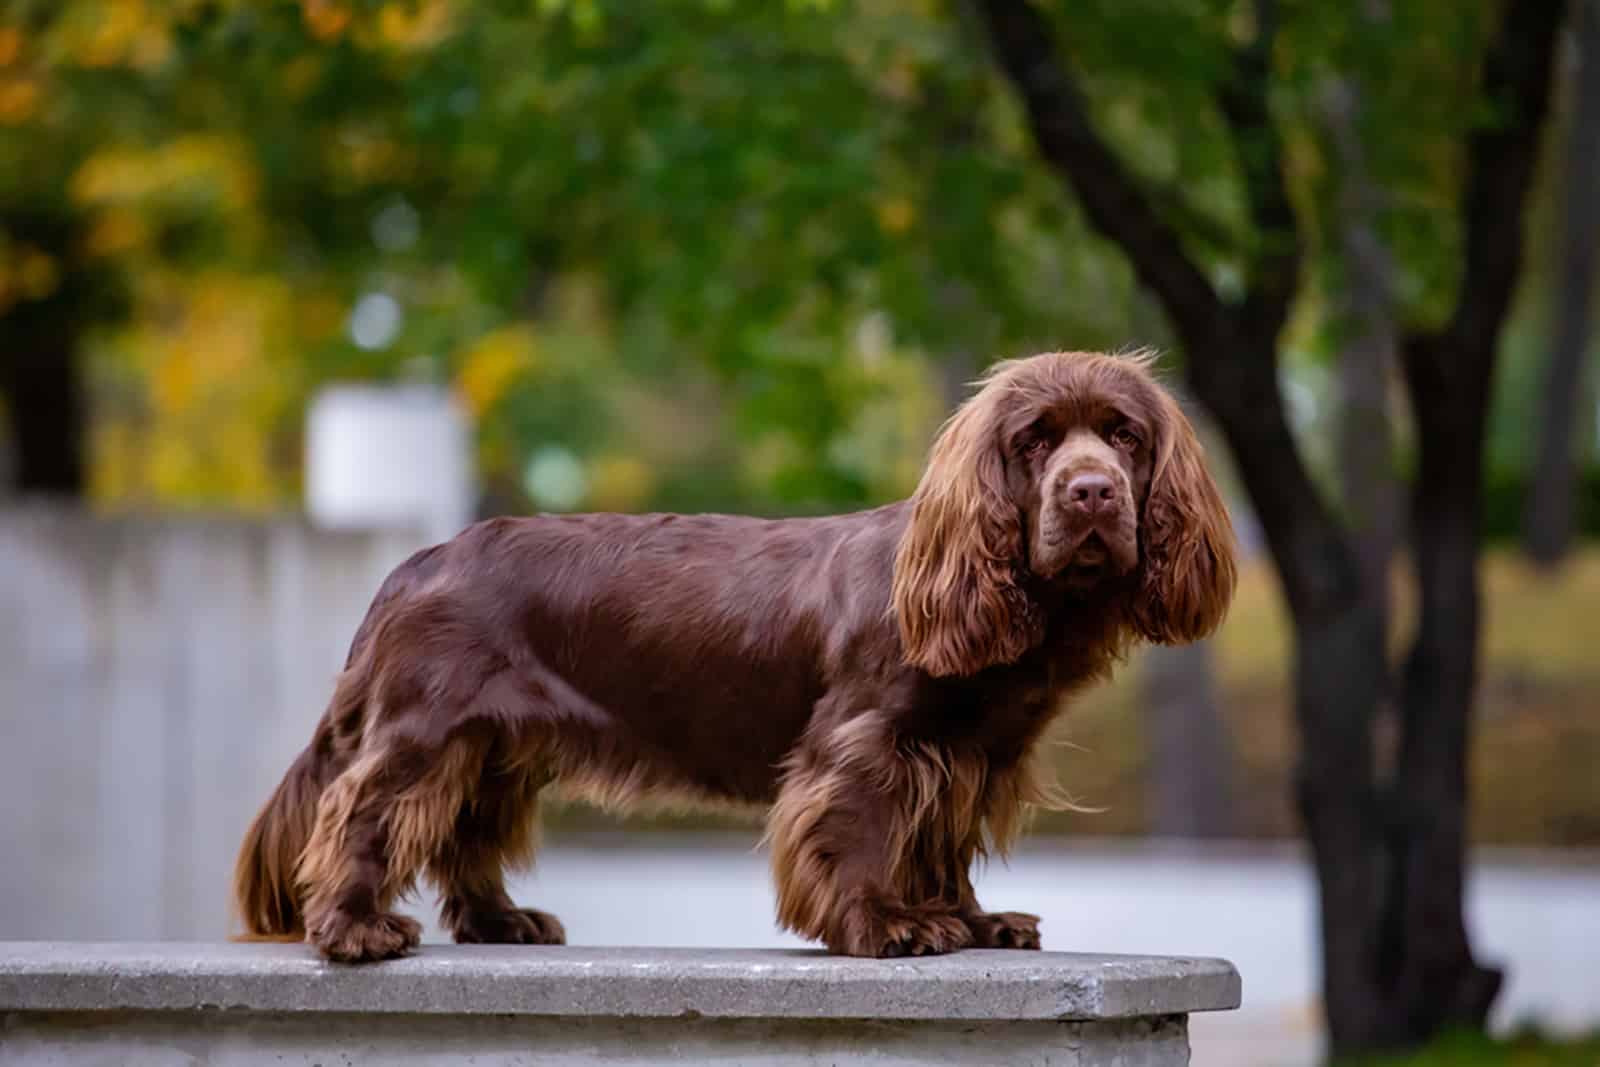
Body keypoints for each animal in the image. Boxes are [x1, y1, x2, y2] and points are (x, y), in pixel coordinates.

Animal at [233, 348, 1235, 959]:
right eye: (1035, 441)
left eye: (1124, 434)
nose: (1093, 492)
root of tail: (420, 560)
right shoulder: (865, 742)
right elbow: (861, 831)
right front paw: (889, 924)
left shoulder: (968, 756)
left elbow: (939, 844)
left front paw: (972, 921)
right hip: (427, 728)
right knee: (360, 811)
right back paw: (354, 929)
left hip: (494, 744)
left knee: (464, 834)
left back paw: (503, 920)